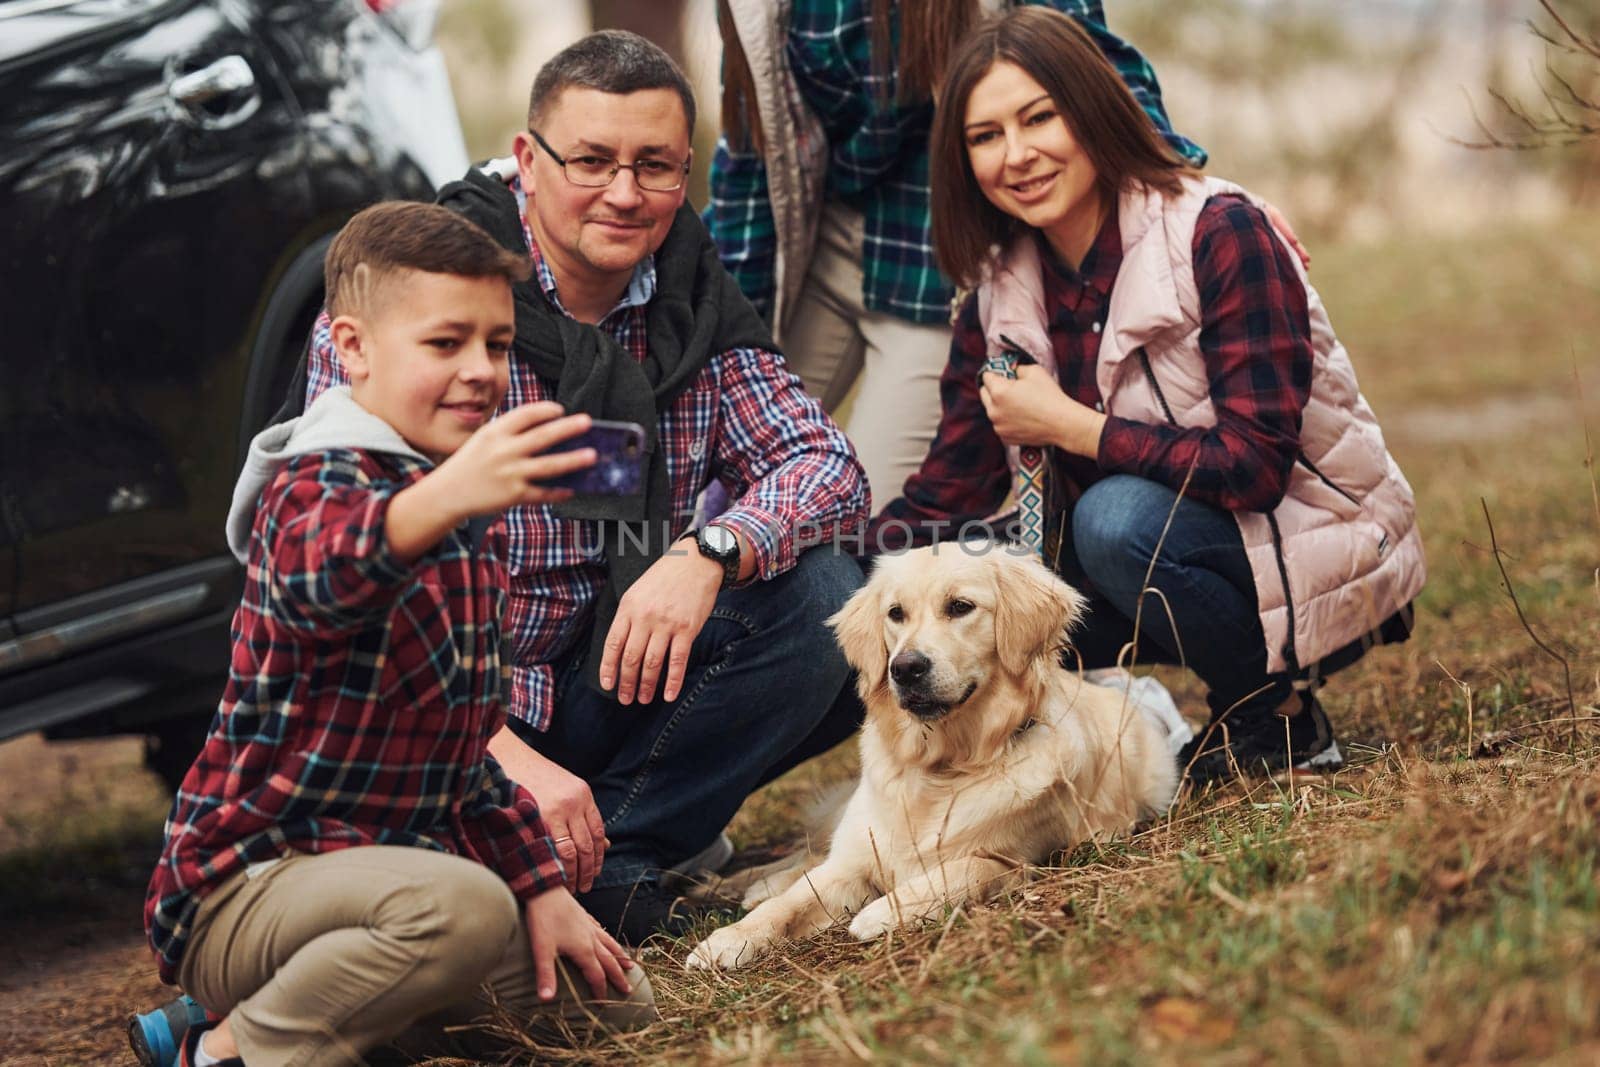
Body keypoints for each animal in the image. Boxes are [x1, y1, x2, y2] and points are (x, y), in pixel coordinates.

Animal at [688, 547, 1177, 972]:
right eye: (895, 614)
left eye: (961, 607)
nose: (905, 668)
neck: (940, 767)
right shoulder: (852, 861)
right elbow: (789, 902)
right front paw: (729, 941)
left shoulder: (1023, 861)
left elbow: (963, 869)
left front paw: (883, 911)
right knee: (804, 857)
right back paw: (742, 884)